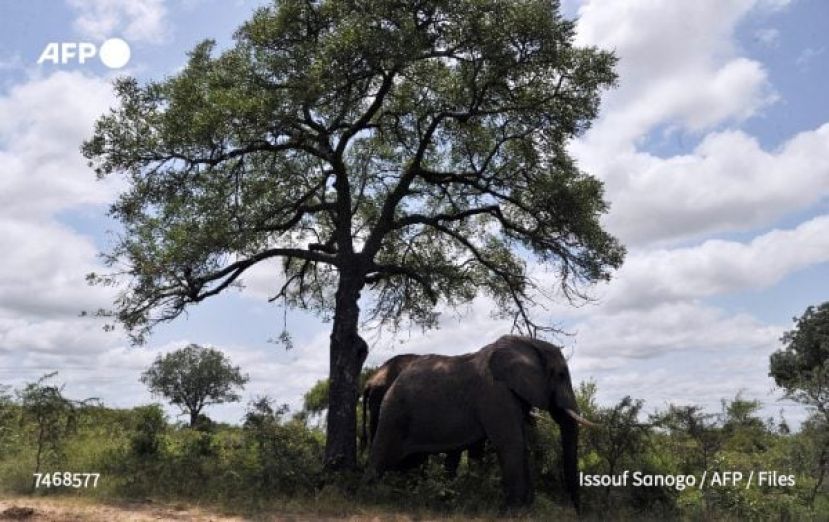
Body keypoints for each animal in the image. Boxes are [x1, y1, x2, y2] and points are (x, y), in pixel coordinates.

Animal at [366, 335, 594, 509]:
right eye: (561, 375)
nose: (577, 511)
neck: (529, 343)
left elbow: (519, 443)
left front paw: (526, 507)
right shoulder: (495, 392)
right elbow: (511, 443)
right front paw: (515, 510)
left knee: (412, 460)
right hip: (395, 412)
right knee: (382, 455)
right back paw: (370, 494)